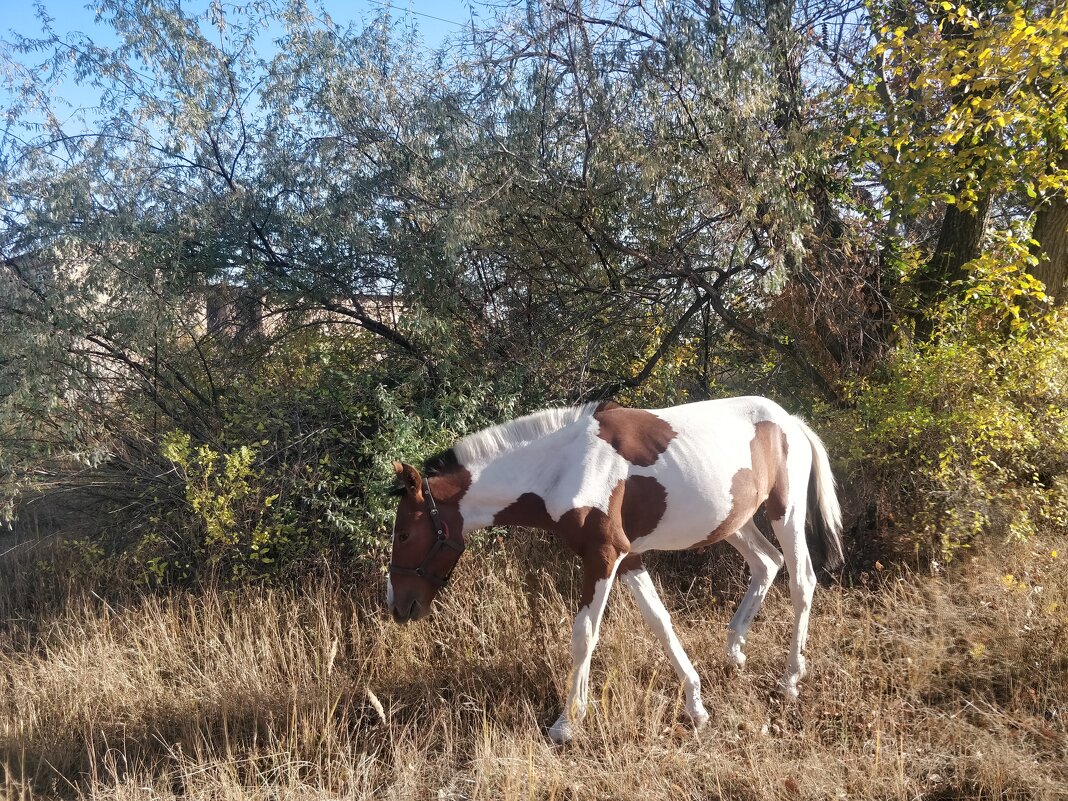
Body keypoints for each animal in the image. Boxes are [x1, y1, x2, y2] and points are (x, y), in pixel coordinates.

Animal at [386, 399, 841, 743]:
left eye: (405, 532)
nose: (399, 606)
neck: (563, 467)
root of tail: (790, 421)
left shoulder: (604, 557)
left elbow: (584, 634)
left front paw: (567, 722)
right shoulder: (629, 558)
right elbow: (660, 622)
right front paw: (695, 704)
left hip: (785, 513)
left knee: (801, 581)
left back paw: (790, 680)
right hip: (735, 521)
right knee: (766, 564)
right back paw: (735, 653)